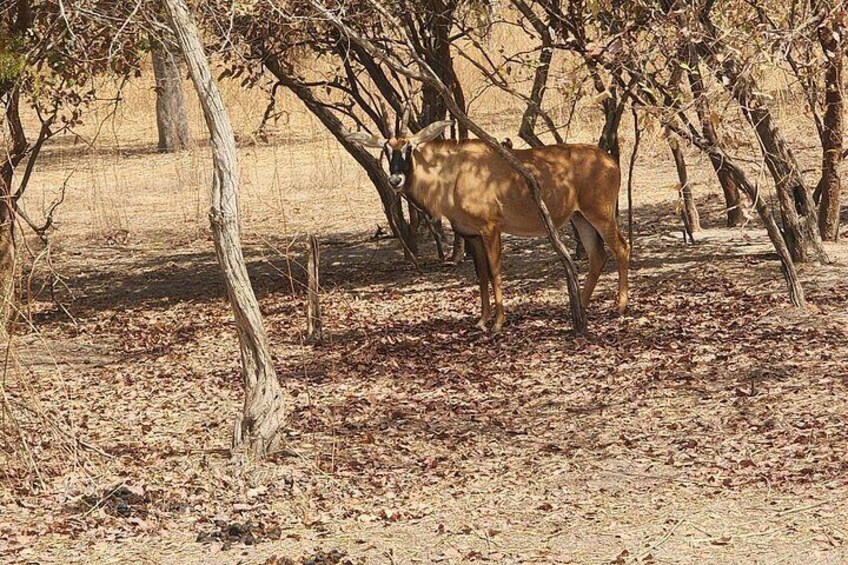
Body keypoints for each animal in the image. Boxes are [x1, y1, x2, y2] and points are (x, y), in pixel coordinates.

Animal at [347, 119, 630, 334]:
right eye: (386, 150)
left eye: (410, 147)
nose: (395, 179)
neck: (454, 173)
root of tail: (611, 161)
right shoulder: (472, 235)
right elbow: (481, 275)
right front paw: (482, 320)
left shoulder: (490, 228)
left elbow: (495, 271)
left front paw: (498, 323)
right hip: (580, 218)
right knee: (597, 255)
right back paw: (581, 306)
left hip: (600, 214)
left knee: (621, 248)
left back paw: (620, 306)